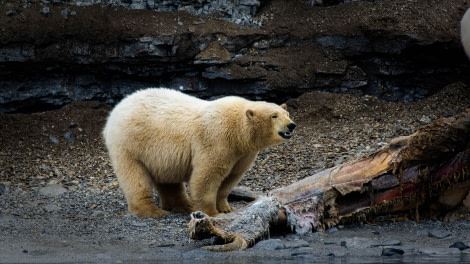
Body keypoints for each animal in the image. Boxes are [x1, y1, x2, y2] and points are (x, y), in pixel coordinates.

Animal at [103, 87, 296, 218]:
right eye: (273, 116)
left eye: (286, 113)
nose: (291, 125)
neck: (238, 131)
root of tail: (117, 108)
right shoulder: (217, 139)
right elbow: (207, 175)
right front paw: (212, 212)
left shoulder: (242, 154)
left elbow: (231, 178)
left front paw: (226, 207)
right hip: (130, 143)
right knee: (135, 177)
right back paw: (152, 210)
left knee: (167, 180)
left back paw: (183, 205)